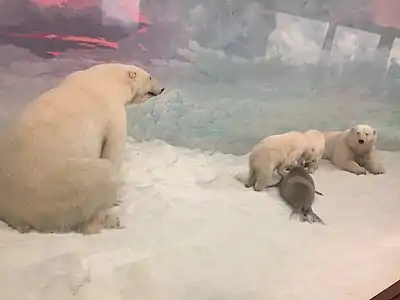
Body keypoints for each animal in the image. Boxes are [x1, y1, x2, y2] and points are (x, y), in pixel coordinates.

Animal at [0, 62, 164, 234]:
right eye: (150, 77)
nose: (162, 89)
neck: (109, 79)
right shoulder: (112, 112)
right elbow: (113, 151)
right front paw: (115, 200)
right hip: (60, 187)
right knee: (102, 174)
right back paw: (109, 221)